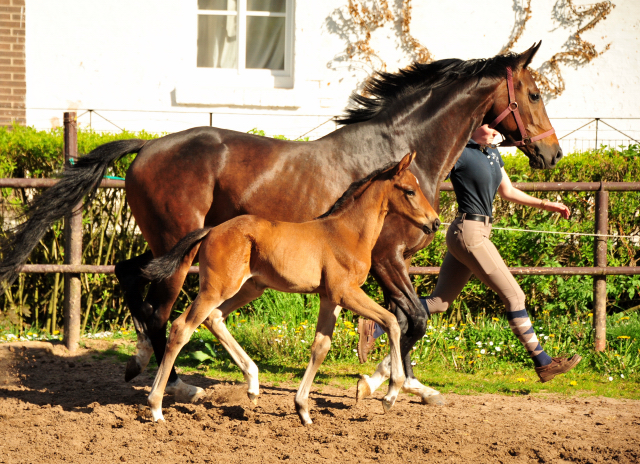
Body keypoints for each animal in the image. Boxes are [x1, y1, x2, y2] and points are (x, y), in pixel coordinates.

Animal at [142, 152, 438, 424]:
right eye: (410, 191)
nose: (434, 222)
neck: (348, 232)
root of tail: (212, 230)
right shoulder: (346, 292)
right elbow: (392, 322)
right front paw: (390, 394)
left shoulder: (330, 298)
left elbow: (321, 347)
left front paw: (303, 409)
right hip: (216, 289)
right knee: (181, 327)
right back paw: (156, 407)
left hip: (250, 288)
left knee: (214, 318)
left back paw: (253, 384)